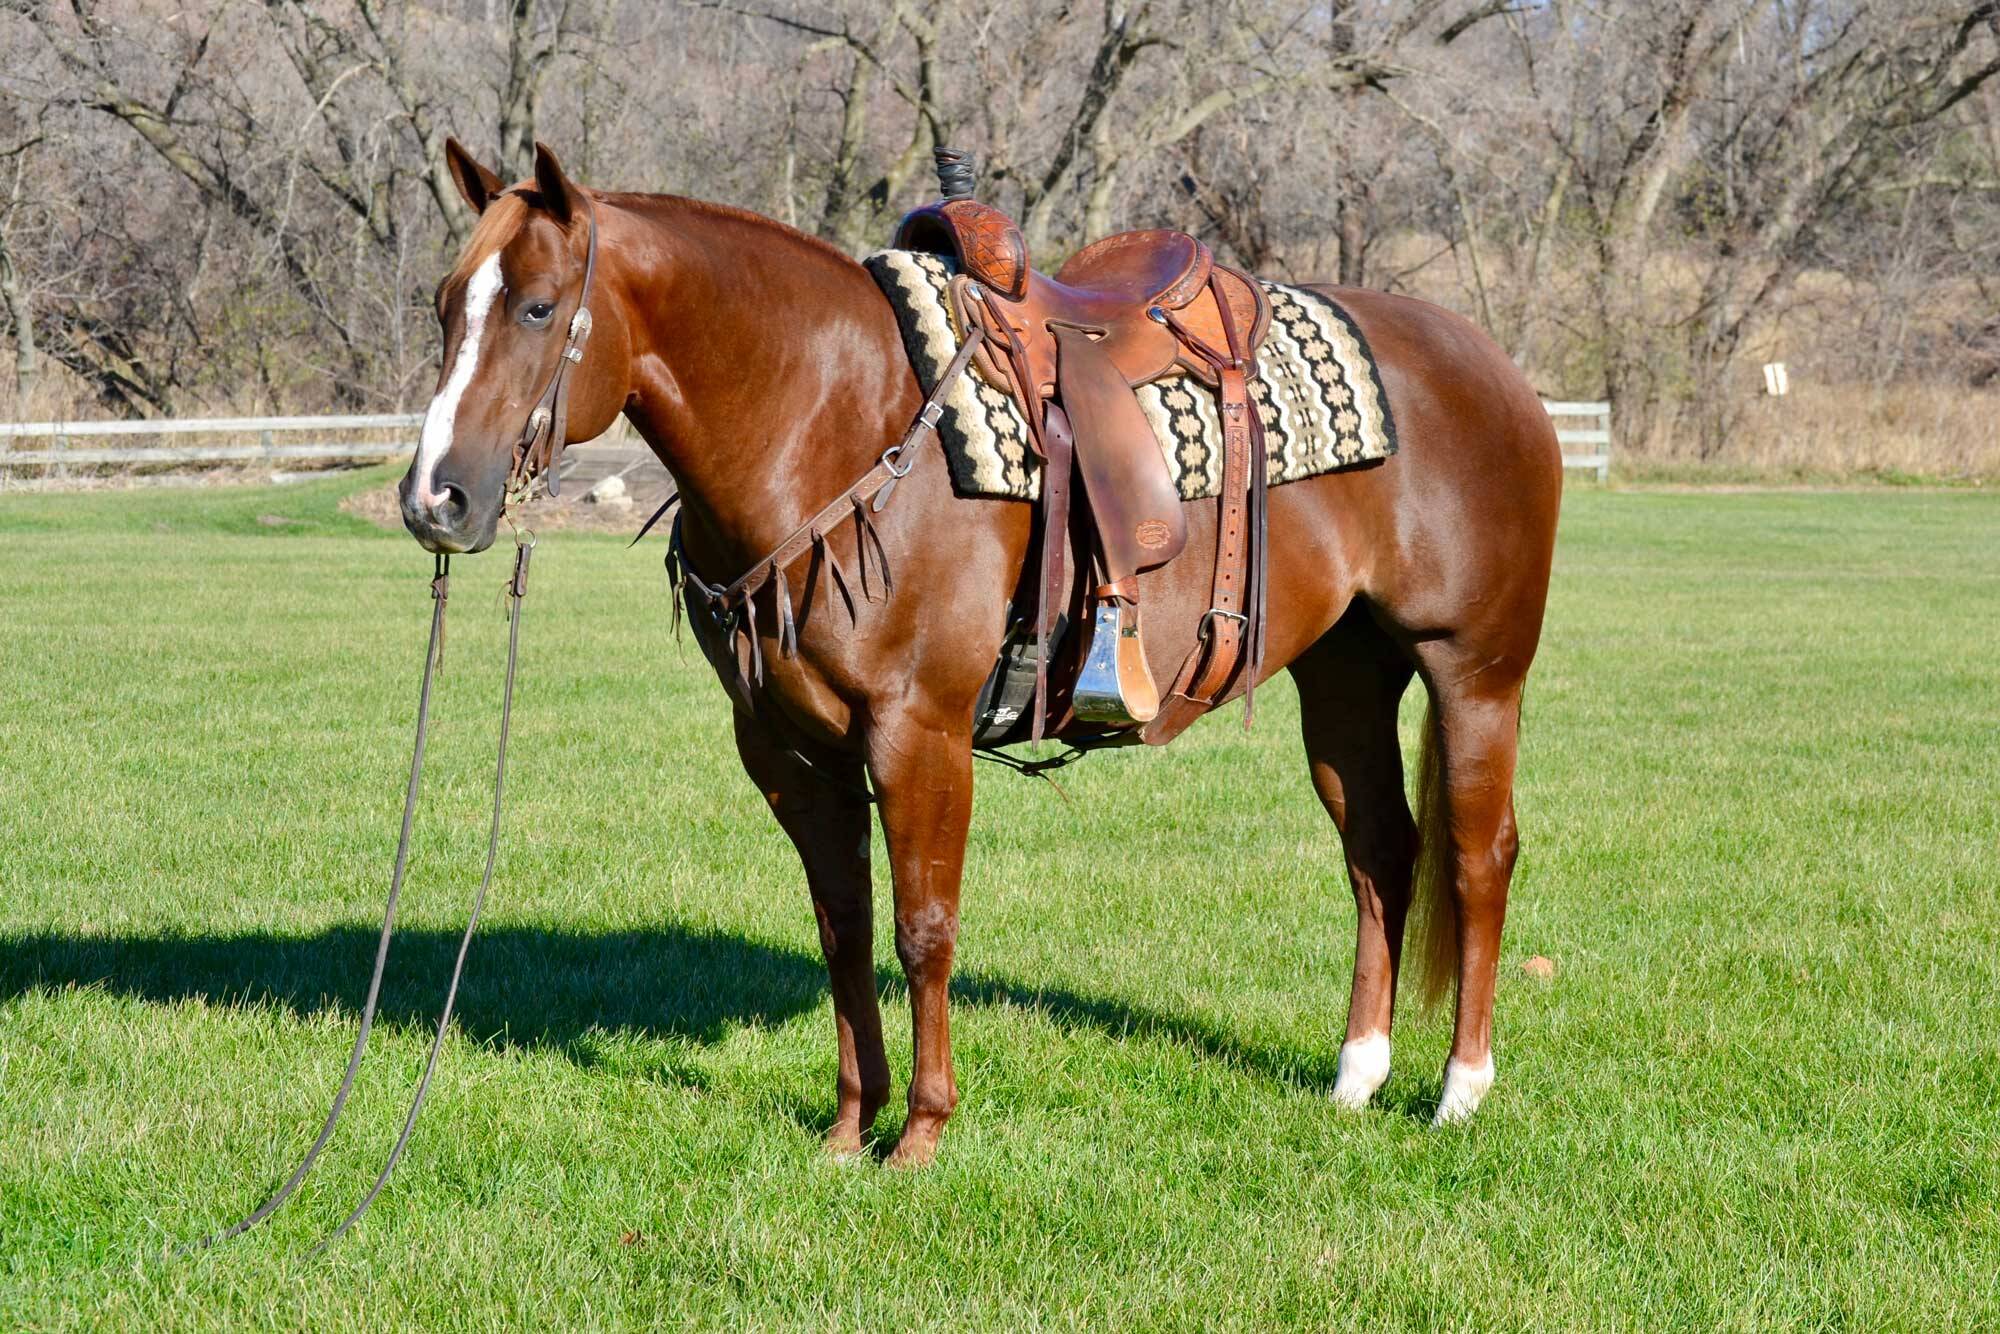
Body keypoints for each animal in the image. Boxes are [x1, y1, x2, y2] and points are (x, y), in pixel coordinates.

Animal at [399, 141, 1562, 1166]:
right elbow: (844, 927)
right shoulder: (791, 752)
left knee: (1478, 855)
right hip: (1346, 674)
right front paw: (846, 1128)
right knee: (1379, 850)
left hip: (1474, 674)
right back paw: (1357, 1075)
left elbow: (923, 928)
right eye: (445, 303)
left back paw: (1458, 1090)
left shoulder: (920, 732)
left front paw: (919, 1133)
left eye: (537, 306)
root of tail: (1496, 369)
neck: (829, 417)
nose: (434, 499)